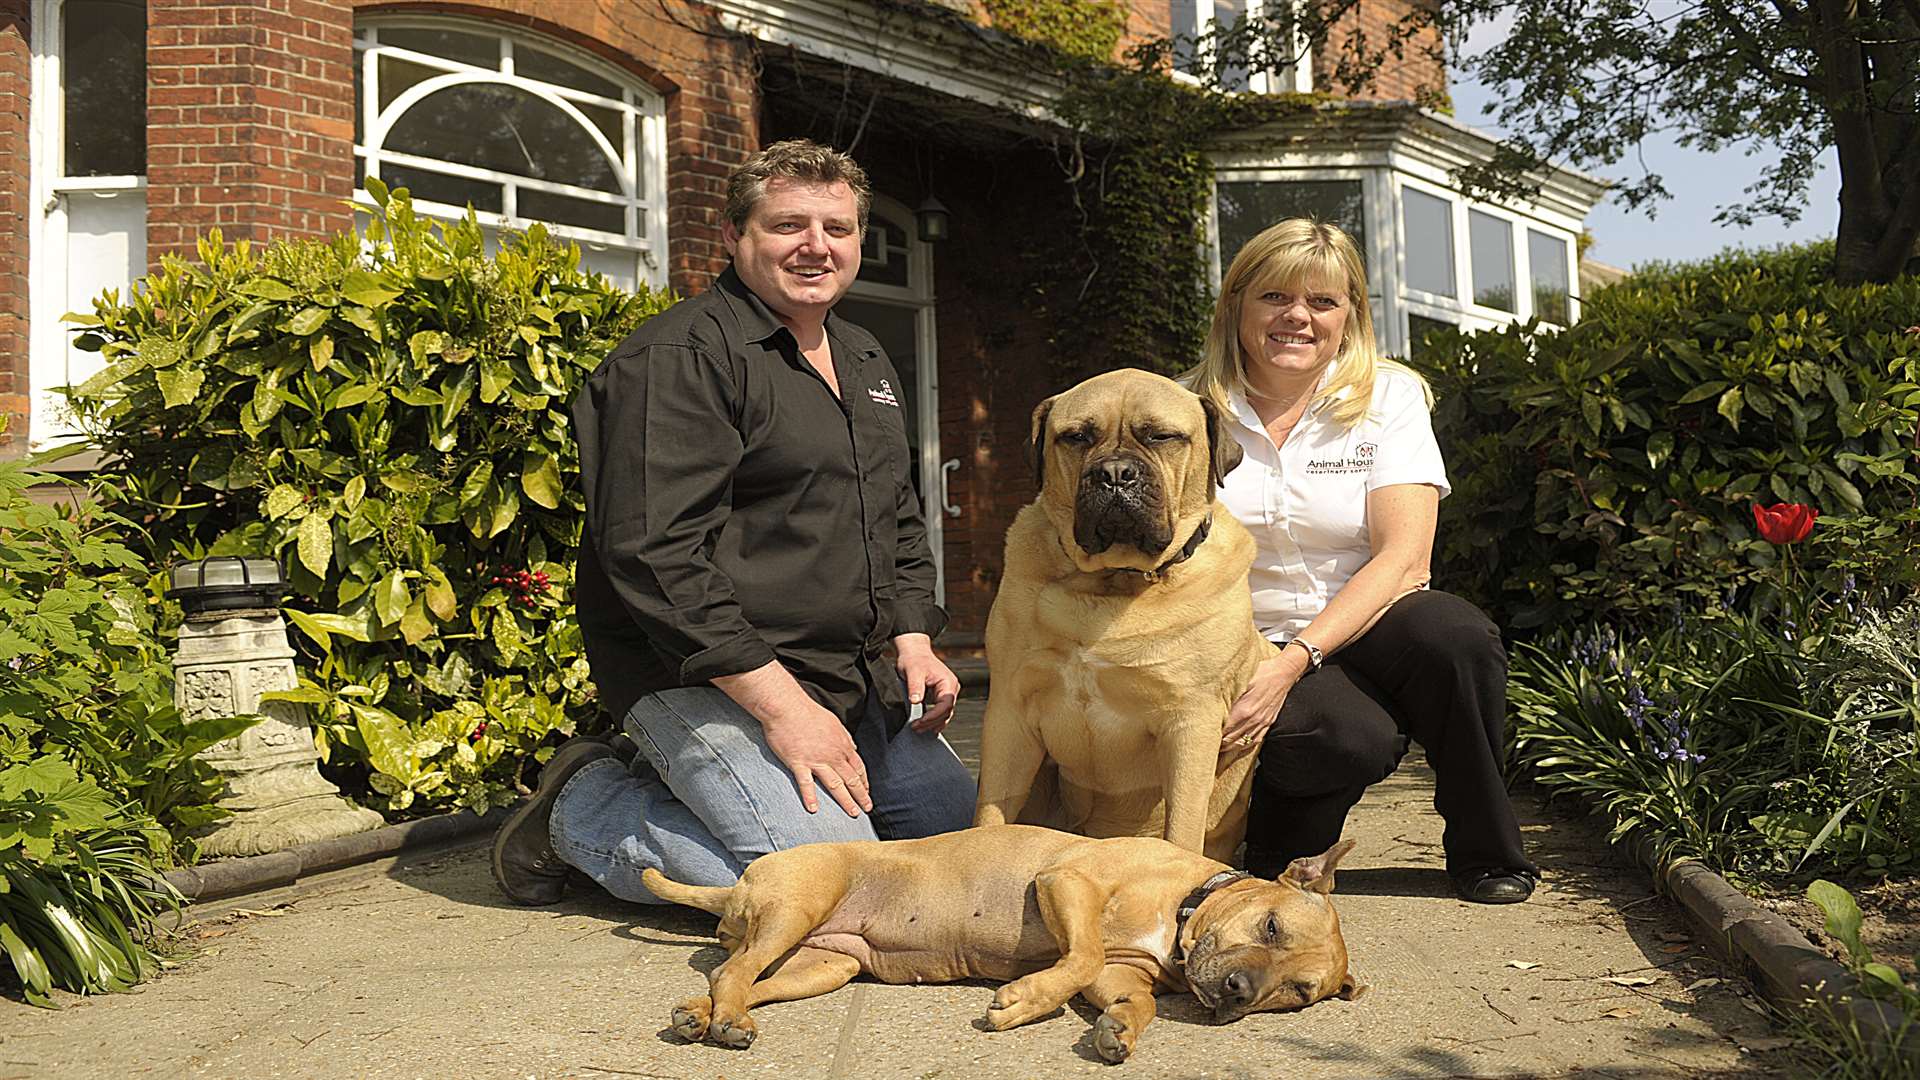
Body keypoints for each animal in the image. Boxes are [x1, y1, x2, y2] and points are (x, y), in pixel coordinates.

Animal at [648, 822, 1367, 1060]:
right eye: (1270, 926)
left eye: (1297, 994)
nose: (1240, 993)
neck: (1183, 905)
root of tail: (732, 887)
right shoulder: (1066, 882)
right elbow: (1081, 953)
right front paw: (1023, 1001)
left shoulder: (1119, 972)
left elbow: (1129, 996)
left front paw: (1118, 1030)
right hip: (799, 907)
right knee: (734, 972)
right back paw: (725, 1022)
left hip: (825, 964)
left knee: (738, 977)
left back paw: (703, 1016)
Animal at [983, 368, 1282, 857]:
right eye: (1076, 437)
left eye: (1162, 436)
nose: (1114, 473)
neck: (1111, 583)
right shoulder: (1010, 709)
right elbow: (990, 811)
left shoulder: (1191, 721)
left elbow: (1182, 829)